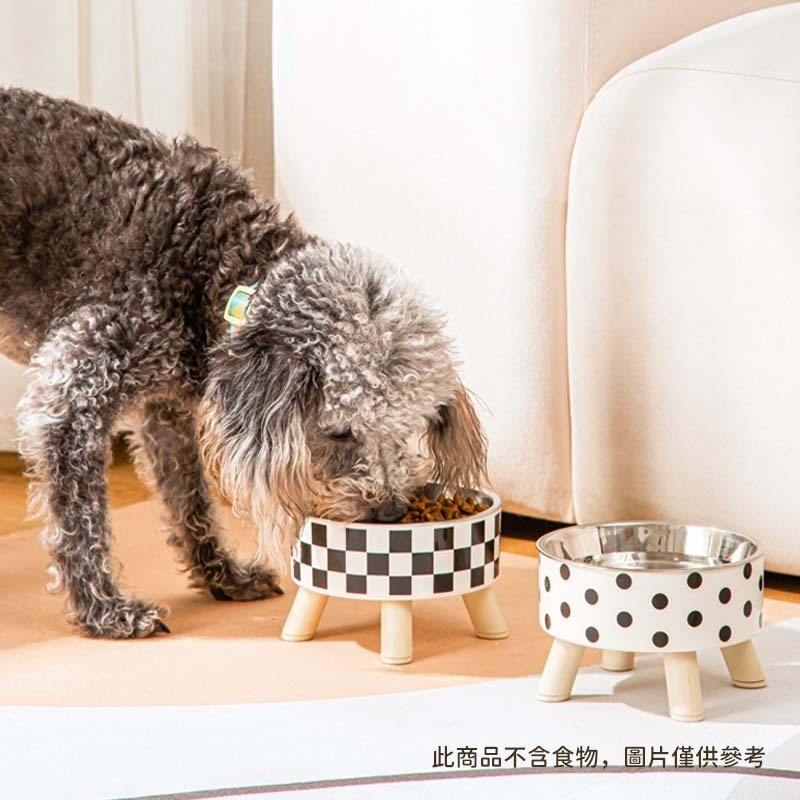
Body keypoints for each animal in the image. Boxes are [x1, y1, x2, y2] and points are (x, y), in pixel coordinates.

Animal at [0, 86, 484, 636]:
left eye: (404, 430)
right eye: (339, 432)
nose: (388, 510)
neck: (210, 260)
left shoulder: (167, 411)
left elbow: (189, 500)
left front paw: (222, 575)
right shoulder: (70, 395)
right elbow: (79, 519)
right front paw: (103, 609)